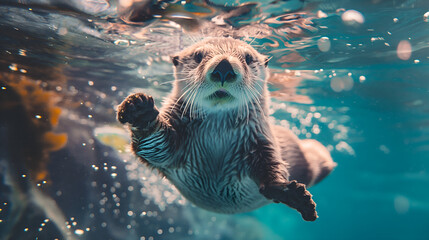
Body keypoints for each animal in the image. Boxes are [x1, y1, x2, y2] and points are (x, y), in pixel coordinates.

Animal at [117, 38, 334, 221]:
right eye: (198, 56)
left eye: (248, 58)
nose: (223, 66)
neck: (216, 137)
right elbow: (157, 147)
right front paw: (140, 111)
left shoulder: (260, 141)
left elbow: (271, 165)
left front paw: (291, 194)